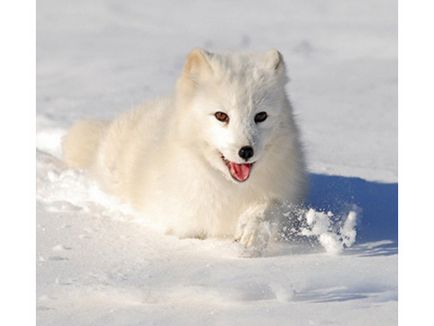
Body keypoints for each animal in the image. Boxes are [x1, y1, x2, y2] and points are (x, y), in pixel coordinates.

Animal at [62, 49, 306, 250]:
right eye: (221, 116)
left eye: (261, 116)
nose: (246, 151)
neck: (229, 189)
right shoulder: (184, 226)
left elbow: (271, 205)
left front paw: (252, 229)